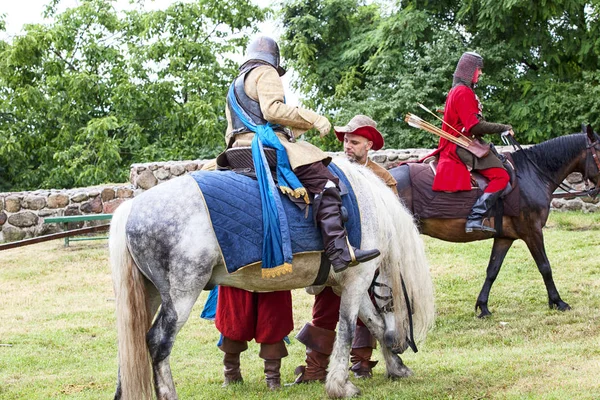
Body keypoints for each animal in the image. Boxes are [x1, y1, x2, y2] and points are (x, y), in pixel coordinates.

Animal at [392, 123, 596, 318]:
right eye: (598, 150)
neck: (531, 174)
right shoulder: (533, 231)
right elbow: (545, 266)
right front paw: (558, 302)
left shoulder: (504, 237)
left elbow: (493, 270)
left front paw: (483, 307)